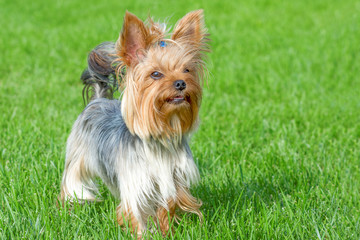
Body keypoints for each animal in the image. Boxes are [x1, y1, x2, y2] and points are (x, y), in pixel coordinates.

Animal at [60, 9, 210, 236]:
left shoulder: (171, 182)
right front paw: (143, 235)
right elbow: (136, 215)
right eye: (155, 74)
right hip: (79, 156)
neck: (162, 133)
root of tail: (98, 99)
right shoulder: (136, 184)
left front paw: (165, 232)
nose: (181, 83)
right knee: (71, 182)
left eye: (186, 70)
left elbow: (166, 209)